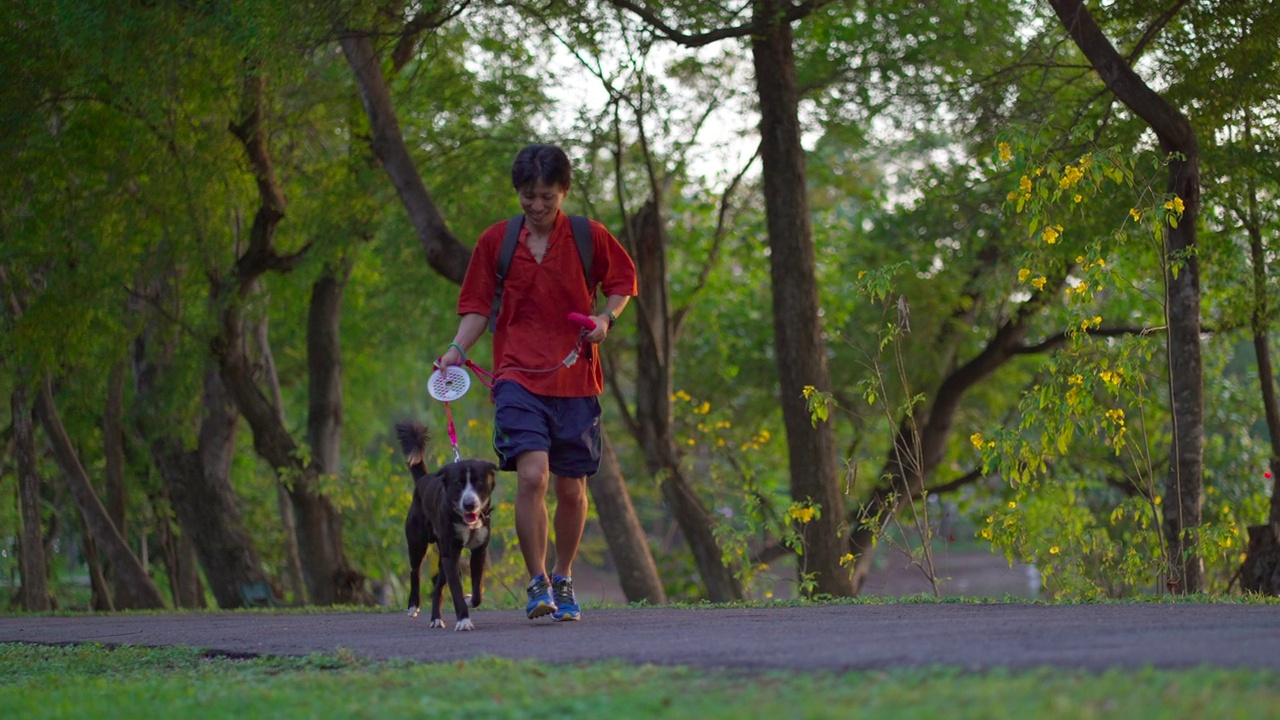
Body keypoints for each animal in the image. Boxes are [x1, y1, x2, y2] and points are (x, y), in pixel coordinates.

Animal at [396, 417, 496, 630]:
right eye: (458, 483)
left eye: (479, 481)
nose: (469, 504)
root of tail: (423, 479)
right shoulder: (451, 554)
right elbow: (456, 589)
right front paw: (464, 620)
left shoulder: (479, 551)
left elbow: (477, 592)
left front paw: (469, 600)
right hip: (417, 542)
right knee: (415, 571)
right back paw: (413, 605)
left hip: (441, 551)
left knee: (437, 588)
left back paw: (435, 618)